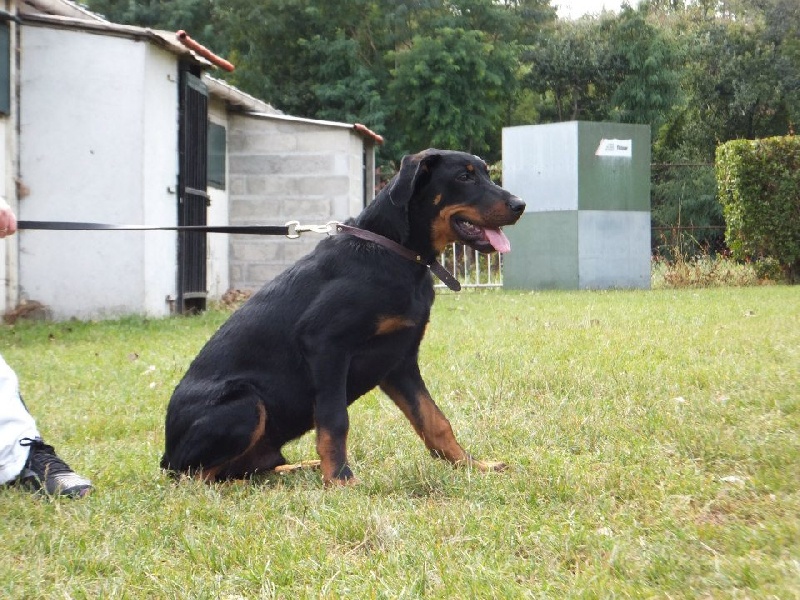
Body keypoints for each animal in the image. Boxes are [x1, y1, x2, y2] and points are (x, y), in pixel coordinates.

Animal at [162, 148, 524, 486]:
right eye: (464, 177)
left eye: (484, 173)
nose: (520, 205)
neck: (395, 252)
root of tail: (166, 455)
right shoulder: (326, 345)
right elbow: (335, 421)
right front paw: (340, 480)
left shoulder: (399, 360)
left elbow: (434, 420)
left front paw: (472, 465)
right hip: (246, 403)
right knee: (195, 477)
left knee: (245, 468)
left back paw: (298, 467)